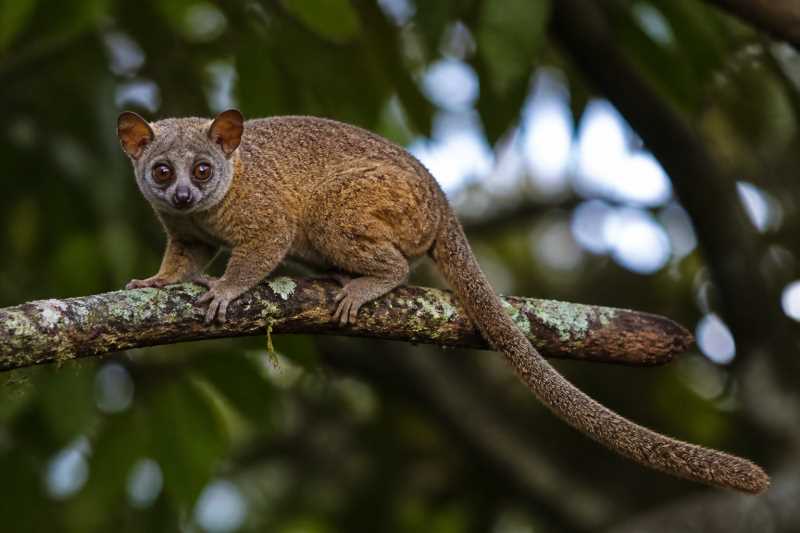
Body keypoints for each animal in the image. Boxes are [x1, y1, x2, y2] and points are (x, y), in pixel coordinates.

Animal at [118, 109, 769, 494]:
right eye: (162, 171)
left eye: (204, 170)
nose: (181, 194)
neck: (217, 200)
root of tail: (440, 199)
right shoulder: (185, 229)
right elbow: (185, 255)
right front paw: (156, 283)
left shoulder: (260, 211)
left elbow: (265, 246)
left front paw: (227, 289)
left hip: (377, 204)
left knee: (365, 242)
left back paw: (369, 280)